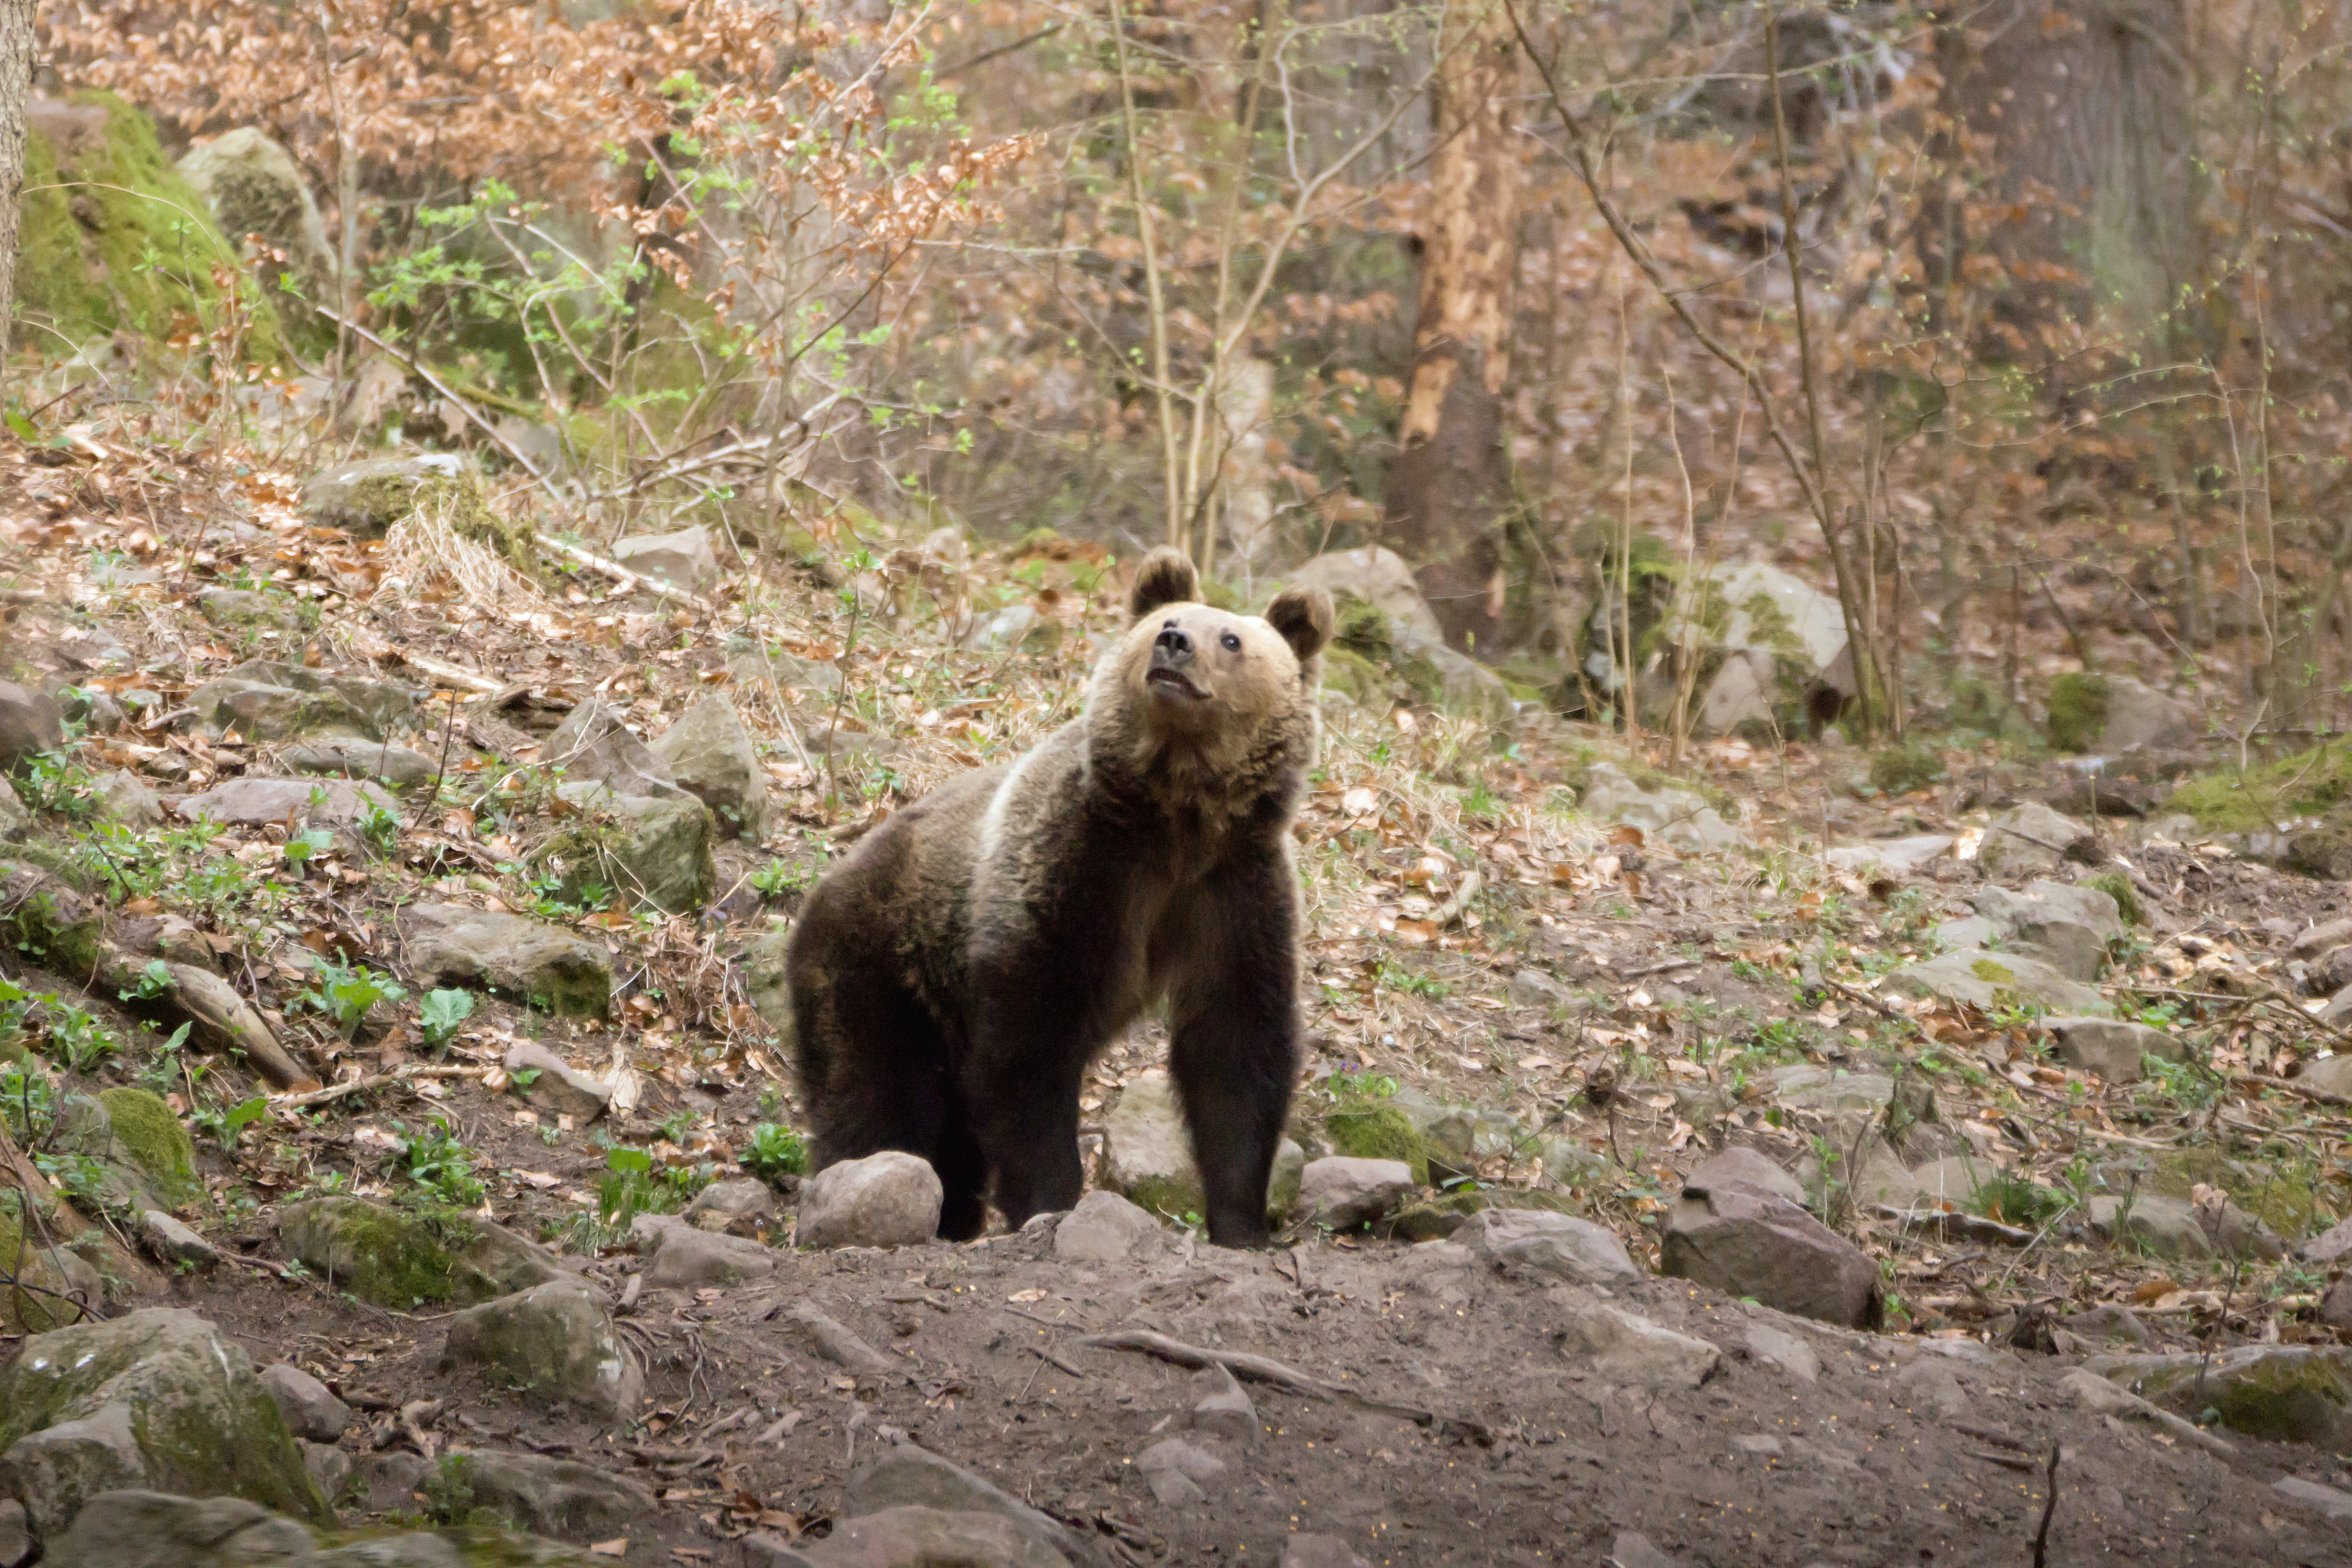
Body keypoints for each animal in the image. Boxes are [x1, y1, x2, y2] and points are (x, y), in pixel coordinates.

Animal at [785, 546, 1333, 1248]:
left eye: (1231, 639)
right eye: (1168, 620)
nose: (1175, 644)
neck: (1178, 818)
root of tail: (822, 889)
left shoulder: (1234, 890)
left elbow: (1235, 1048)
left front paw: (1243, 1223)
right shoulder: (1076, 865)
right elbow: (1031, 1047)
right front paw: (1052, 1202)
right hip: (881, 963)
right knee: (878, 1095)